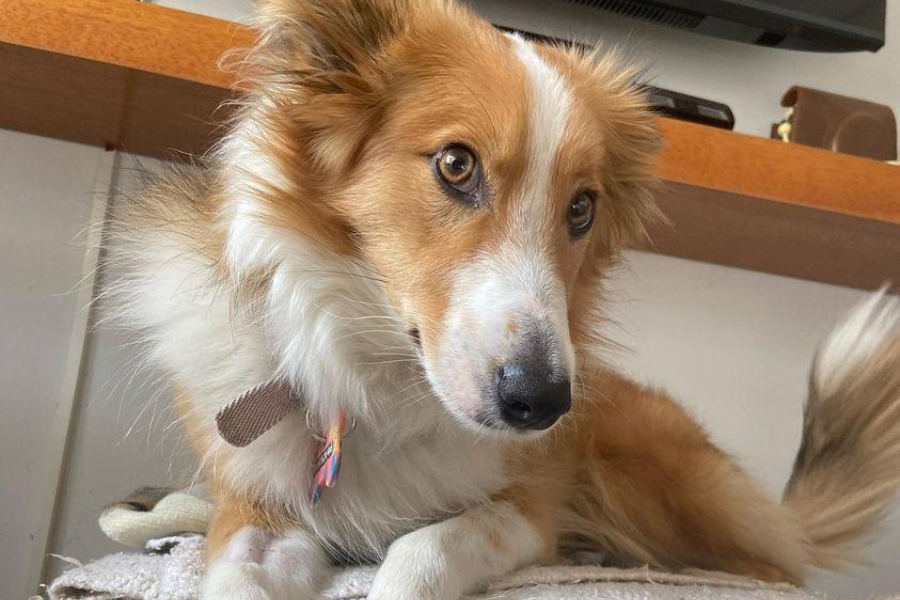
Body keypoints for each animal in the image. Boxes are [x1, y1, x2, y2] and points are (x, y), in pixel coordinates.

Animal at [108, 0, 900, 598]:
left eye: (581, 208)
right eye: (456, 164)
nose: (541, 405)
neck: (379, 379)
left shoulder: (524, 509)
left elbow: (425, 550)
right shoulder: (254, 513)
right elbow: (237, 574)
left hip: (656, 476)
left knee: (770, 564)